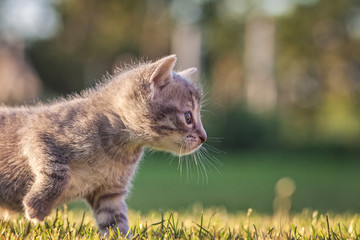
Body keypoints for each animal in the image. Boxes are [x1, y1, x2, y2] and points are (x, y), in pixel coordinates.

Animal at [0, 54, 205, 236]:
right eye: (188, 117)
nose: (204, 137)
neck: (119, 149)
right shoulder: (35, 132)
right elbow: (58, 170)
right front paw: (36, 206)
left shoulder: (109, 193)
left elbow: (114, 220)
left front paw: (120, 235)